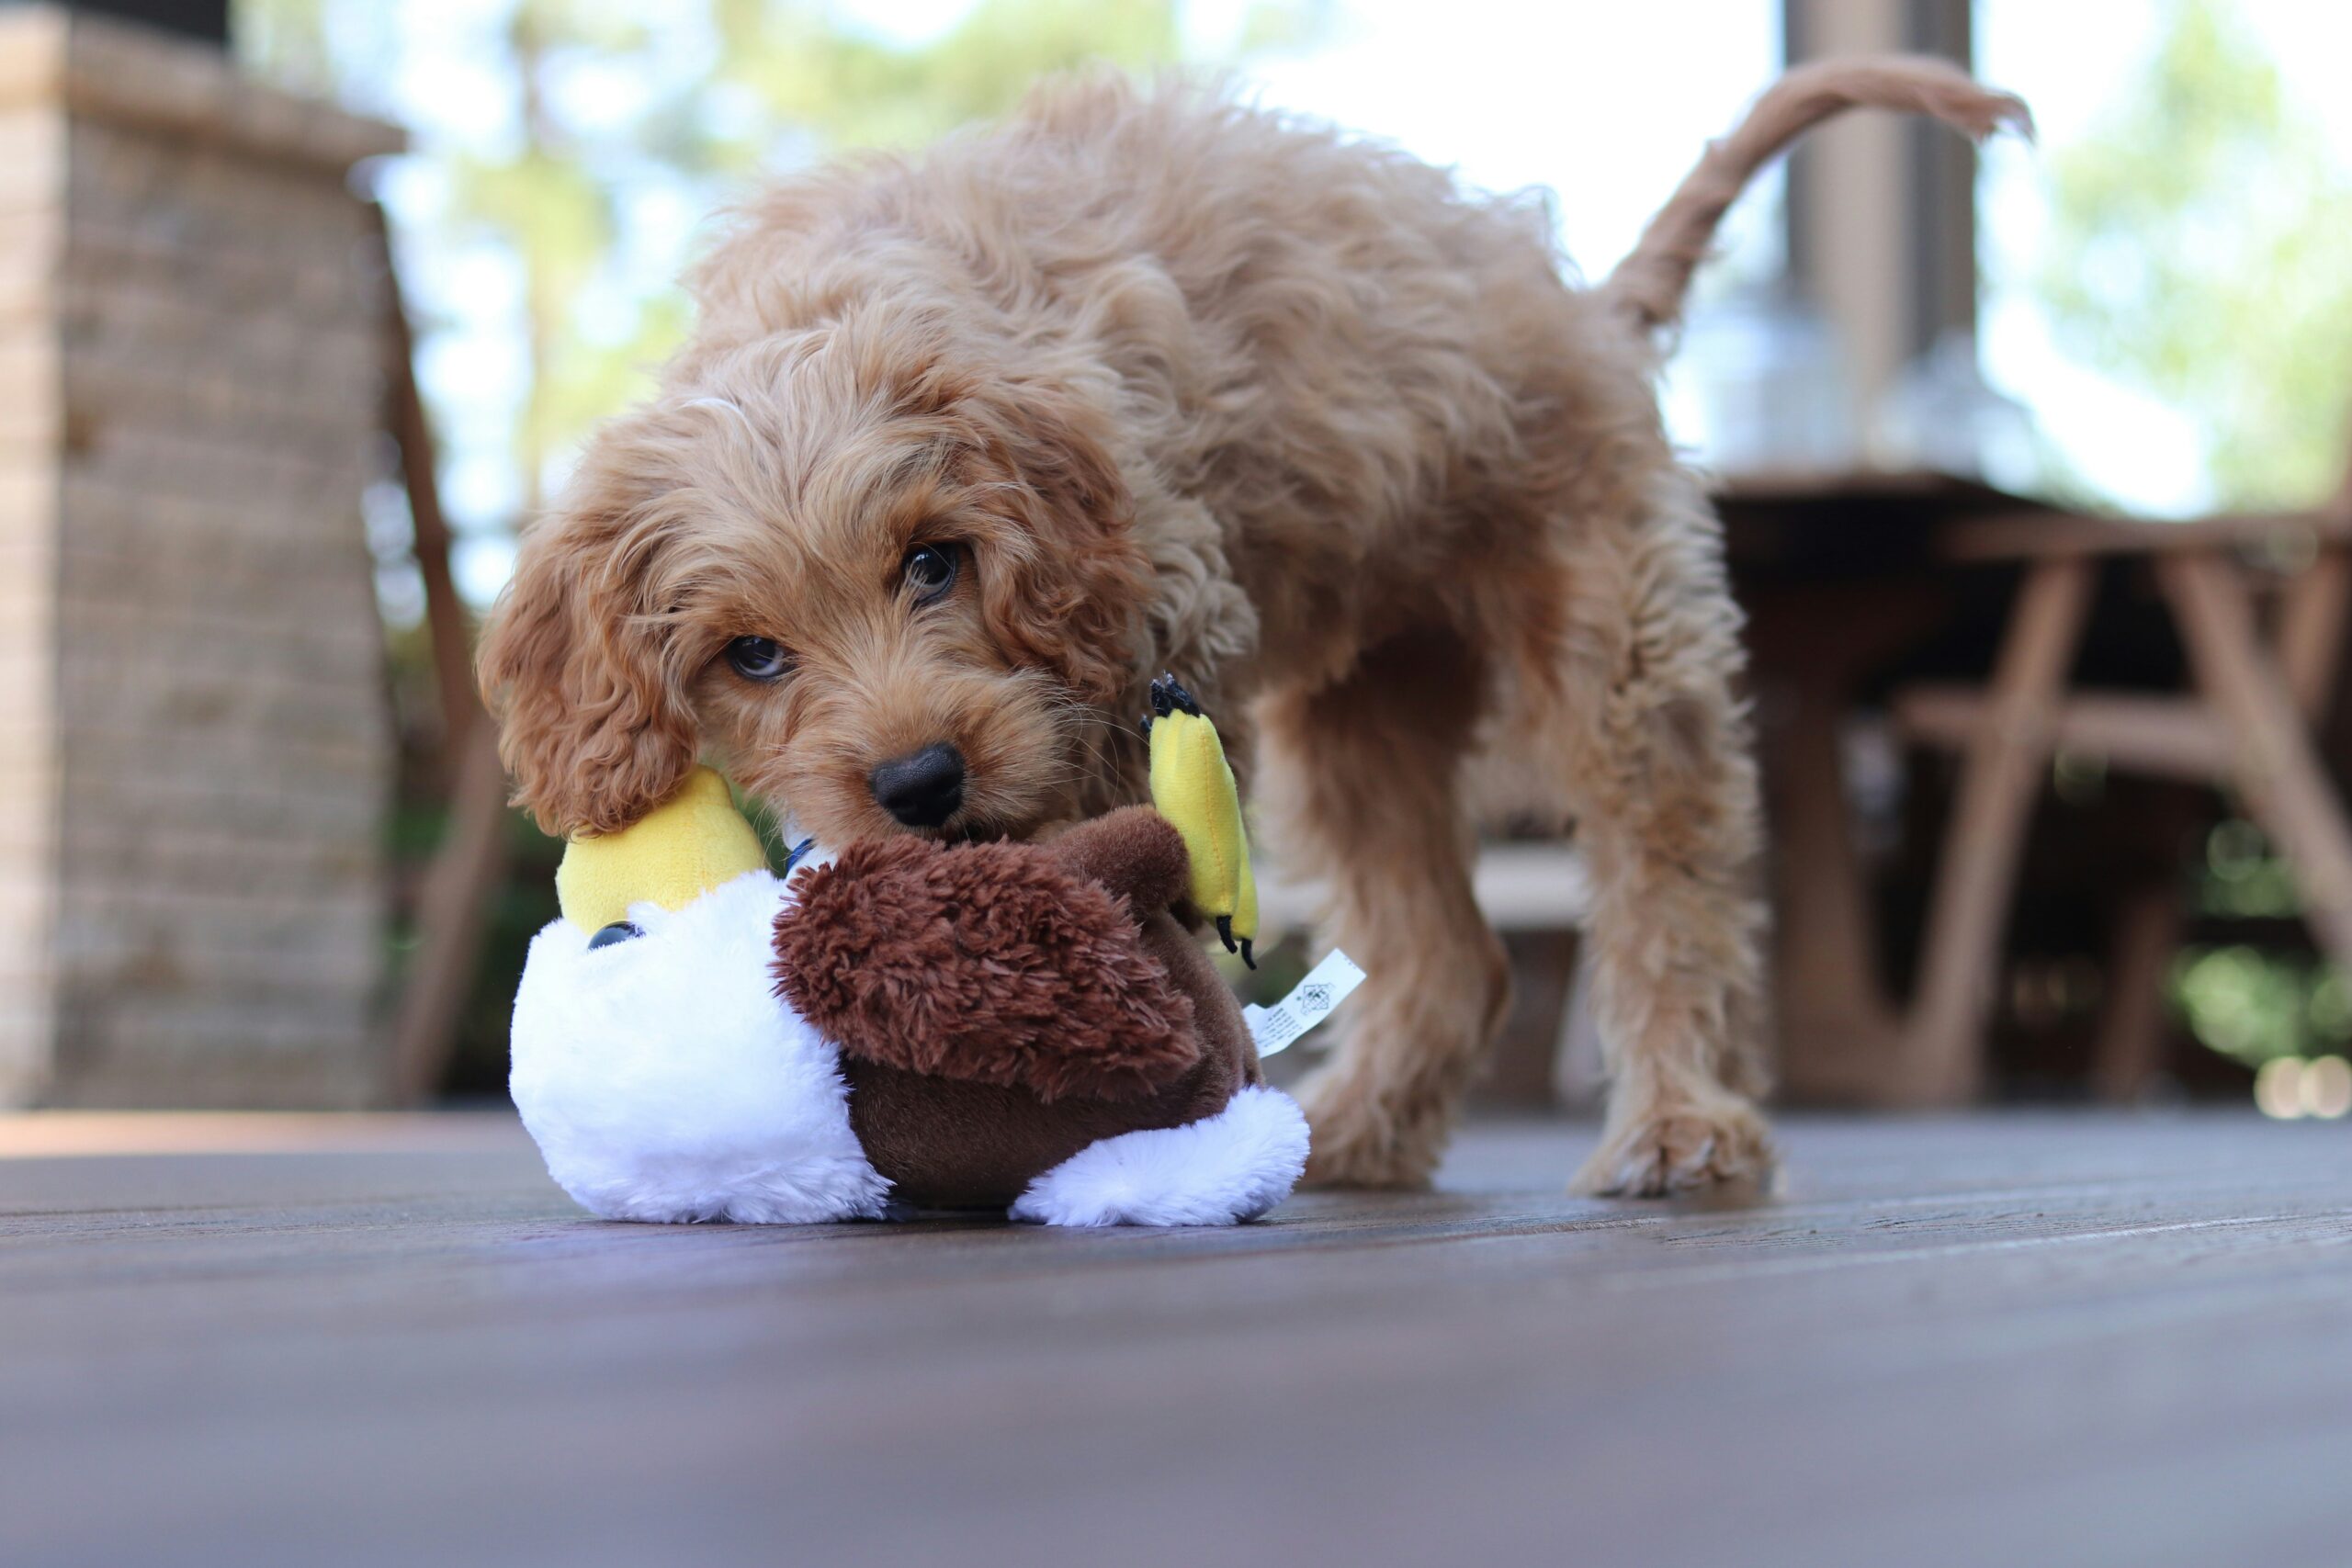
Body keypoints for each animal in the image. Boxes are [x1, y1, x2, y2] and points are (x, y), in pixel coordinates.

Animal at [472, 58, 2022, 1189]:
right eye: (752, 653)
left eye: (934, 562)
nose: (919, 782)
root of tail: (1583, 302)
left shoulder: (1148, 634)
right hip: (1362, 723)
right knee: (1454, 957)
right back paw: (1357, 1132)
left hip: (1619, 652)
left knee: (1669, 892)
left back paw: (1683, 1122)